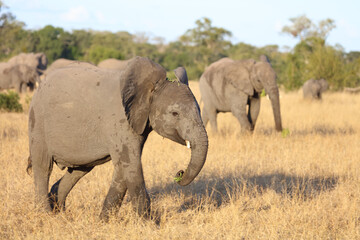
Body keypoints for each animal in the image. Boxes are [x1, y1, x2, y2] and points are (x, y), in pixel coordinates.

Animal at [27, 55, 208, 219]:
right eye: (175, 113)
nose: (179, 174)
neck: (150, 87)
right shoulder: (119, 120)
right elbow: (132, 165)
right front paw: (149, 225)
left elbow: (123, 168)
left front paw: (103, 222)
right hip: (37, 122)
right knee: (43, 166)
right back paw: (46, 215)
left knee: (79, 170)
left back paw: (59, 210)